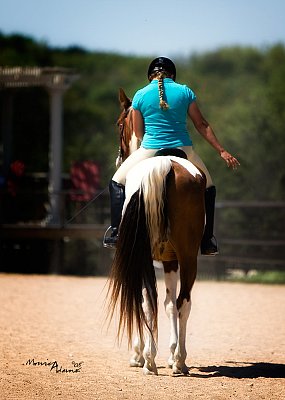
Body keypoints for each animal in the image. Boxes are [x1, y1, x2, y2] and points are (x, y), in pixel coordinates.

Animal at [106, 87, 204, 376]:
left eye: (119, 124)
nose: (119, 157)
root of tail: (166, 166)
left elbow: (145, 301)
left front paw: (140, 354)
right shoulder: (171, 260)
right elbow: (170, 304)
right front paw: (170, 355)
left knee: (150, 301)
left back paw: (151, 360)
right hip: (187, 256)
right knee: (182, 302)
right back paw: (179, 361)